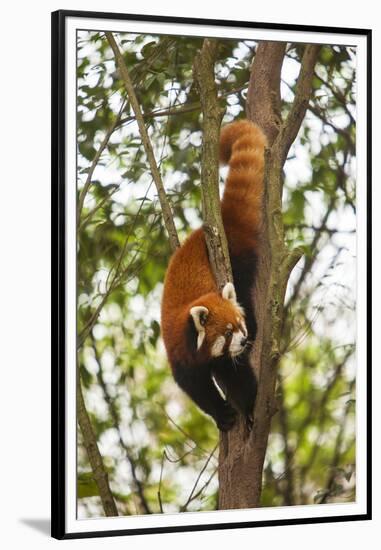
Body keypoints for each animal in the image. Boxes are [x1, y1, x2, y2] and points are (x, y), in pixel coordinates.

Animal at [162, 123, 266, 434]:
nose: (243, 340)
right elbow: (197, 389)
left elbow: (238, 375)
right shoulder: (181, 355)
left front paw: (249, 407)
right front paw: (222, 414)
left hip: (239, 262)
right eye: (228, 332)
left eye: (239, 324)